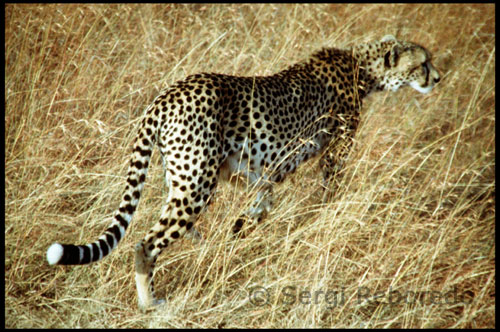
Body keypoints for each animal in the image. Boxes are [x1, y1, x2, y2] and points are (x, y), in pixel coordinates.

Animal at [46, 35, 438, 308]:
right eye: (423, 63)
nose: (437, 77)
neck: (362, 66)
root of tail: (167, 94)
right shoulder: (332, 155)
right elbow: (327, 193)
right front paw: (324, 216)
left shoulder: (257, 173)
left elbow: (259, 206)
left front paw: (238, 235)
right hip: (196, 185)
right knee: (146, 243)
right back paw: (149, 303)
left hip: (184, 177)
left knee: (173, 226)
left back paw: (199, 251)